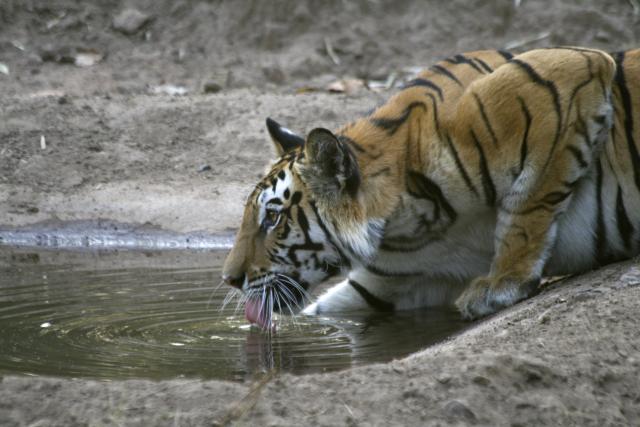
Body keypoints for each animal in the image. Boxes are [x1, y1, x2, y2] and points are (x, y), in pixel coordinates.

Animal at [221, 46, 640, 328]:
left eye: (273, 218)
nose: (230, 280)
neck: (408, 226)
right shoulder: (386, 284)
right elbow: (324, 308)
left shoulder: (568, 72)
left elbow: (528, 203)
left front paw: (501, 283)